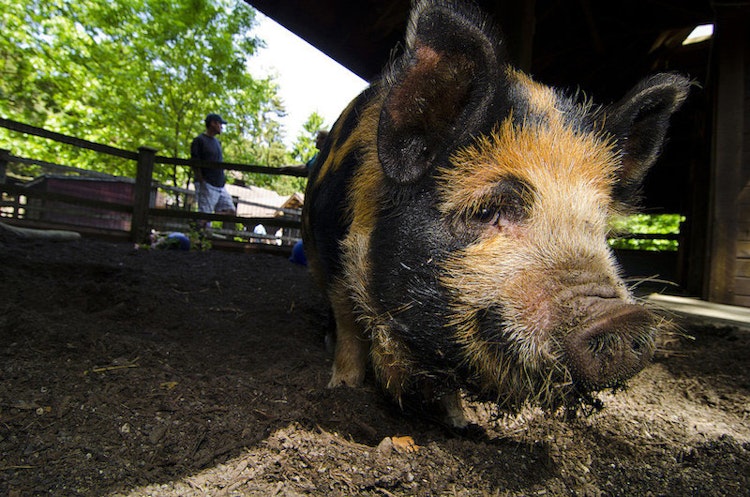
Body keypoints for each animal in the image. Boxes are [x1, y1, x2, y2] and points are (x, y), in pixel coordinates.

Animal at [302, 0, 692, 426]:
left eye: (600, 227)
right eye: (488, 210)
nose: (621, 318)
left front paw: (459, 422)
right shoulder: (329, 247)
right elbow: (348, 323)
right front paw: (342, 388)